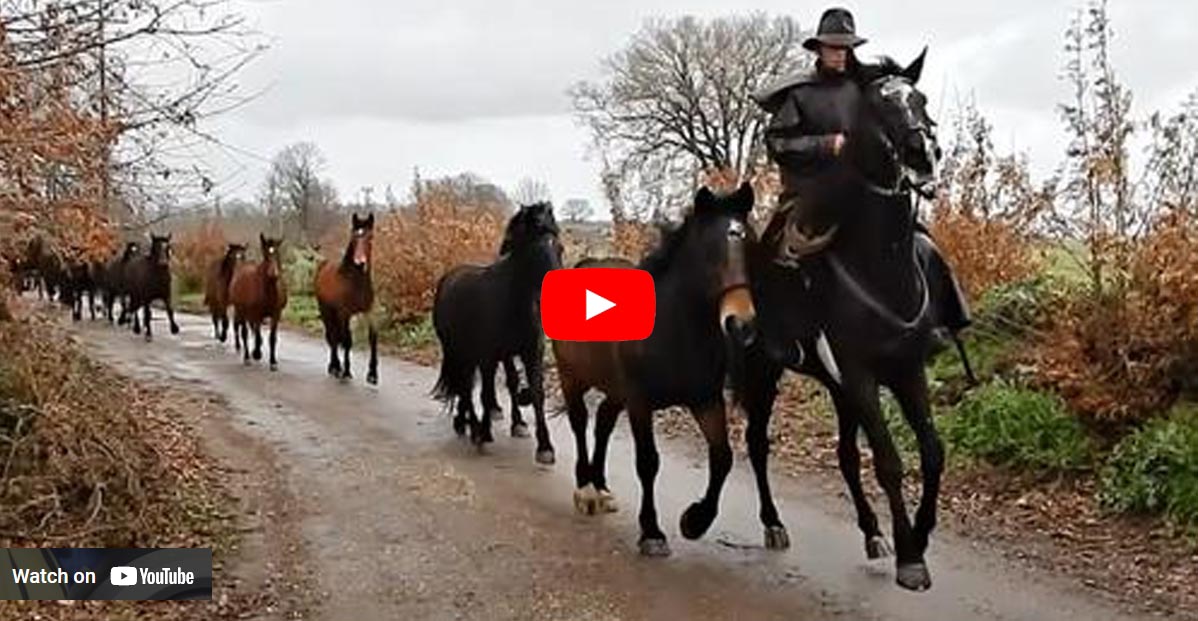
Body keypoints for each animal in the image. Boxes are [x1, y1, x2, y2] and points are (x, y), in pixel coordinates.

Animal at [232, 233, 291, 369]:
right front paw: (257, 354)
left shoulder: (276, 314)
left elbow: (272, 338)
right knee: (244, 332)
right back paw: (248, 357)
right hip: (241, 311)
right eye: (266, 255)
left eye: (277, 253)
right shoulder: (256, 314)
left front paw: (273, 362)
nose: (274, 274)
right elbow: (257, 335)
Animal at [313, 216, 378, 386]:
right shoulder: (345, 314)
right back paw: (335, 367)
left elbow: (373, 338)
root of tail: (323, 265)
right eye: (354, 237)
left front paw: (373, 375)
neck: (355, 282)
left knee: (335, 336)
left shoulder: (369, 312)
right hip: (326, 311)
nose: (360, 262)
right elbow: (347, 340)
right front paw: (346, 372)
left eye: (370, 237)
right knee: (333, 337)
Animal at [433, 202, 563, 465]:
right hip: (457, 350)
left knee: (467, 384)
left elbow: (535, 393)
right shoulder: (488, 355)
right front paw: (484, 435)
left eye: (559, 247)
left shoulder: (530, 352)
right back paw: (472, 427)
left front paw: (544, 446)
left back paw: (466, 422)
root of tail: (449, 277)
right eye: (536, 250)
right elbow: (485, 392)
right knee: (465, 386)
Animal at [737, 50, 944, 594]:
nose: (923, 155)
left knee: (846, 456)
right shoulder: (861, 375)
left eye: (920, 99)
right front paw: (911, 558)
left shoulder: (904, 371)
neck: (881, 269)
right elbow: (890, 462)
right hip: (764, 372)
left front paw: (920, 534)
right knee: (756, 444)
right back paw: (773, 523)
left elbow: (932, 452)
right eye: (880, 107)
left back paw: (872, 532)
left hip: (835, 387)